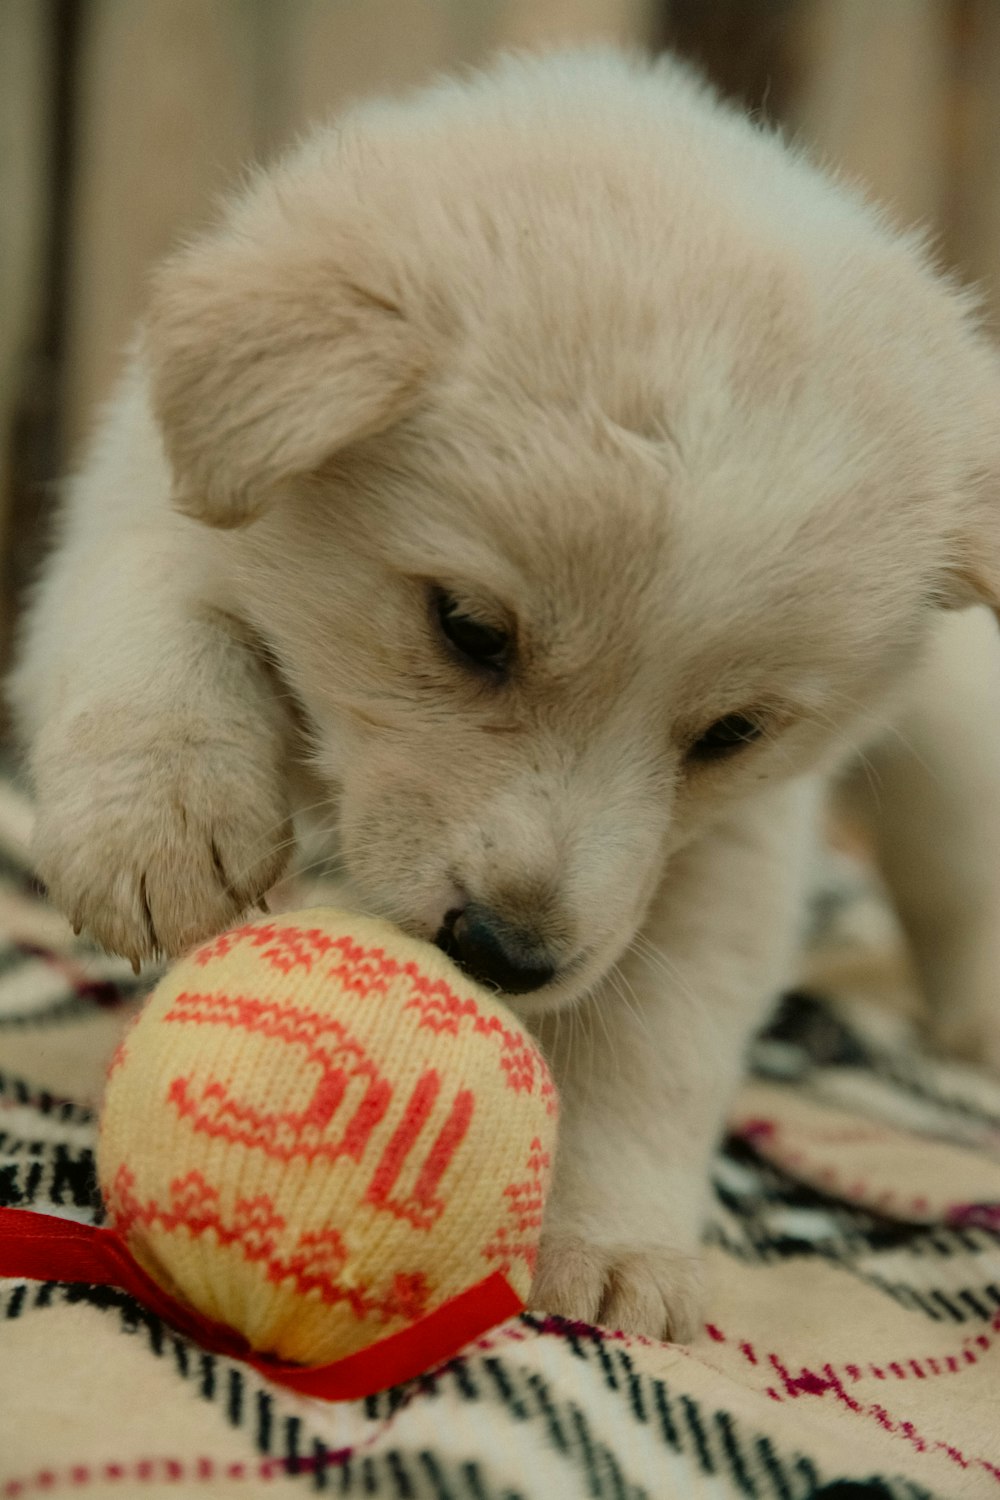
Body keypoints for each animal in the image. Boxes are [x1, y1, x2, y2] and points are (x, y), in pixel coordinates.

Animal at [7, 49, 1000, 1338]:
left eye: (733, 732)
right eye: (471, 630)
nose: (503, 956)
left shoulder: (728, 852)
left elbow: (648, 1045)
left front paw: (612, 1246)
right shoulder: (140, 510)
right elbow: (155, 623)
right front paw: (164, 832)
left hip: (959, 732)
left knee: (957, 864)